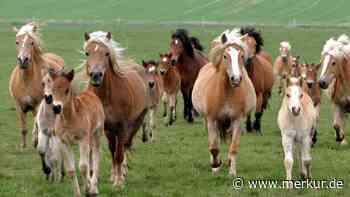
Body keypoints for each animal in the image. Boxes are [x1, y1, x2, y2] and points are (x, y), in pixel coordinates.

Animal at [191, 31, 258, 176]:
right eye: (225, 56)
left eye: (241, 56)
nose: (236, 79)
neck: (226, 93)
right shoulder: (211, 119)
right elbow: (214, 147)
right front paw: (216, 165)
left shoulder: (237, 120)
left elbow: (233, 147)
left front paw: (232, 171)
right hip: (209, 121)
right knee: (213, 142)